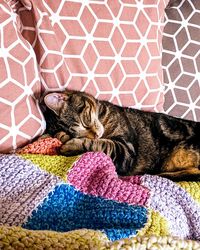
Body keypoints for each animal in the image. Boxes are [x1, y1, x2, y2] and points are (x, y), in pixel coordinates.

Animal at [42, 90, 200, 180]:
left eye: (85, 121)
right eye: (76, 131)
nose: (96, 134)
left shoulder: (126, 150)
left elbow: (101, 145)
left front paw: (71, 145)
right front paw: (64, 138)